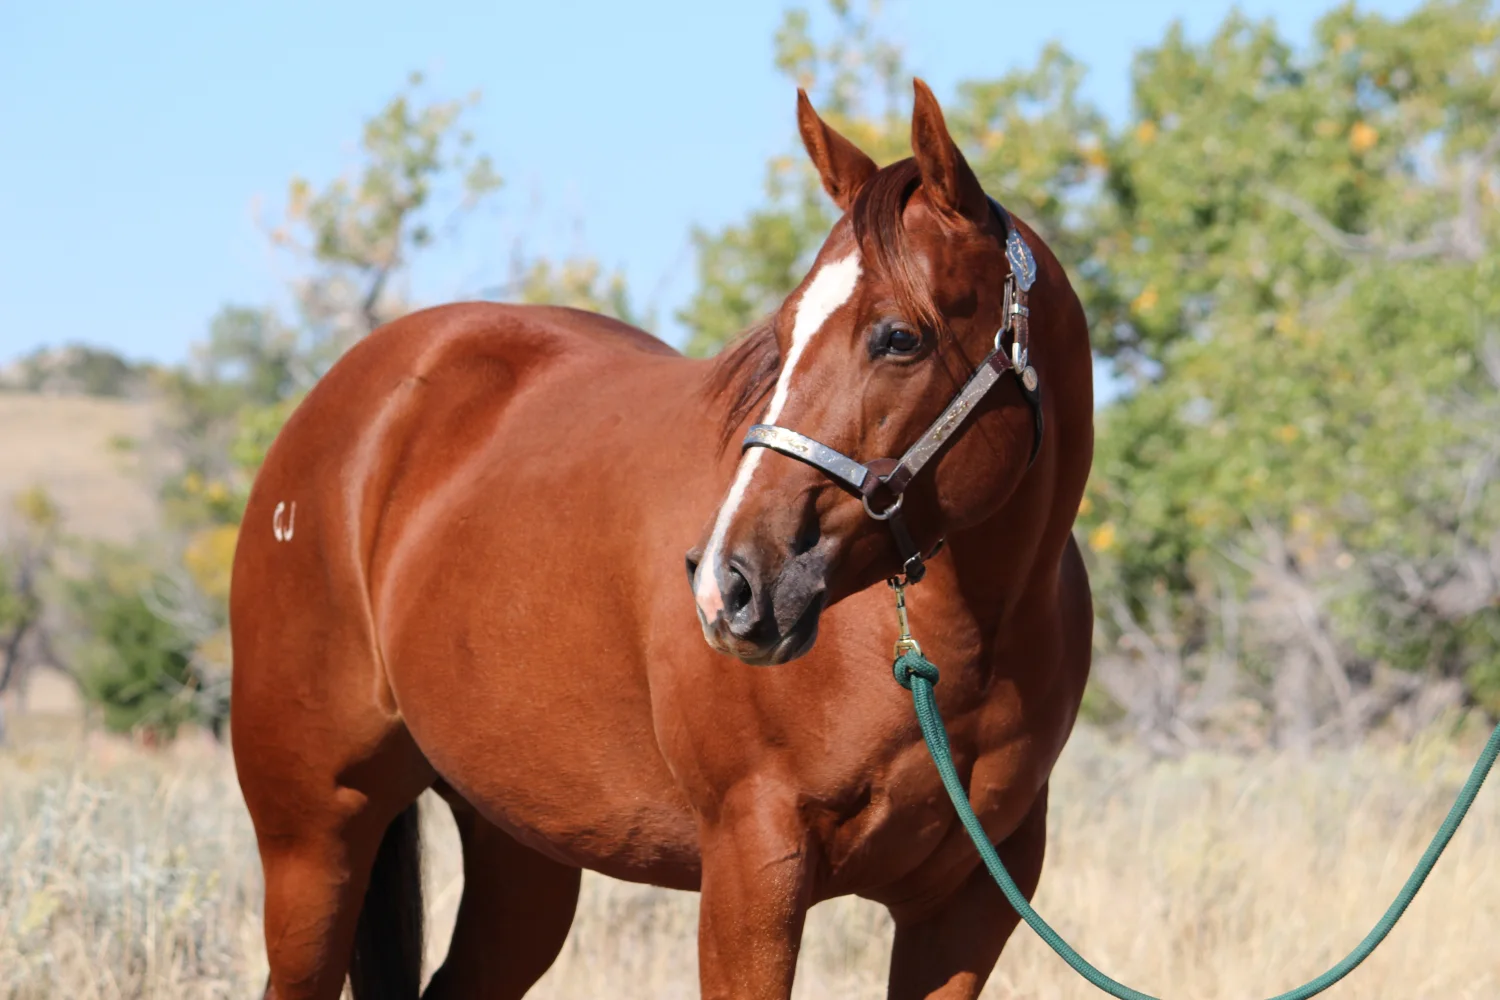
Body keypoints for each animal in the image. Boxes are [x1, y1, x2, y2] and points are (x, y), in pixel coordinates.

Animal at [230, 78, 1094, 1000]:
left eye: (901, 337)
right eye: (783, 334)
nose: (730, 584)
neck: (952, 647)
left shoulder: (969, 906)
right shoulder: (753, 868)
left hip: (520, 852)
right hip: (314, 840)